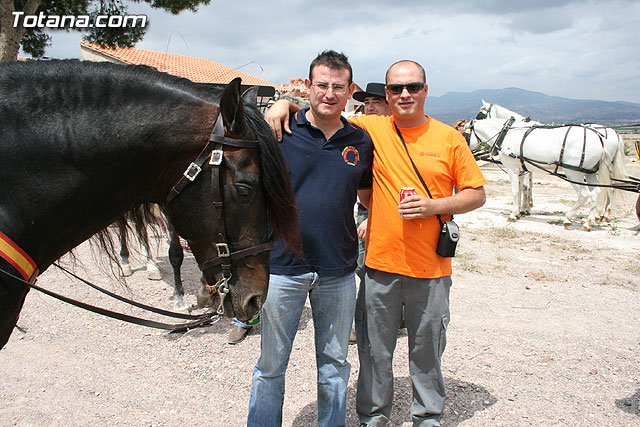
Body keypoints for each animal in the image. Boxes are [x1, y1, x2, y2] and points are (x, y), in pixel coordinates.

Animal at [475, 100, 627, 221]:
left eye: (481, 115)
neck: (511, 131)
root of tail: (613, 134)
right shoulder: (525, 166)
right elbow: (526, 185)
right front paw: (525, 208)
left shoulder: (518, 166)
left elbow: (523, 187)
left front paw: (522, 209)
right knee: (606, 188)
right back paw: (598, 216)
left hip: (580, 171)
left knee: (601, 190)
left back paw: (593, 215)